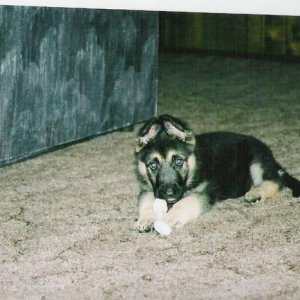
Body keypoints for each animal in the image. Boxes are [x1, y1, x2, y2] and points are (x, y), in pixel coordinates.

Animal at [135, 114, 300, 232]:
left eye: (178, 162)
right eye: (153, 165)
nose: (168, 194)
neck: (193, 169)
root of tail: (270, 156)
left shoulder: (204, 193)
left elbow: (185, 202)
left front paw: (171, 217)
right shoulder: (150, 189)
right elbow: (147, 202)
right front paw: (145, 218)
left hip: (256, 163)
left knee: (276, 180)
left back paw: (256, 192)